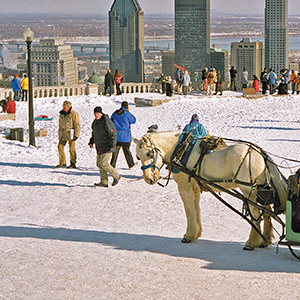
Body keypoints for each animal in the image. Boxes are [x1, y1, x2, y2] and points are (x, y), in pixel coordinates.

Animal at [134, 131, 288, 251]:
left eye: (149, 153)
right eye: (138, 157)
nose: (149, 179)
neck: (181, 150)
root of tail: (258, 151)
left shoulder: (184, 188)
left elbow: (189, 211)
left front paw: (188, 235)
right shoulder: (195, 189)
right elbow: (196, 210)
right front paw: (196, 233)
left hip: (248, 190)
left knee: (256, 214)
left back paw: (251, 243)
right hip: (261, 190)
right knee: (267, 211)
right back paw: (265, 240)